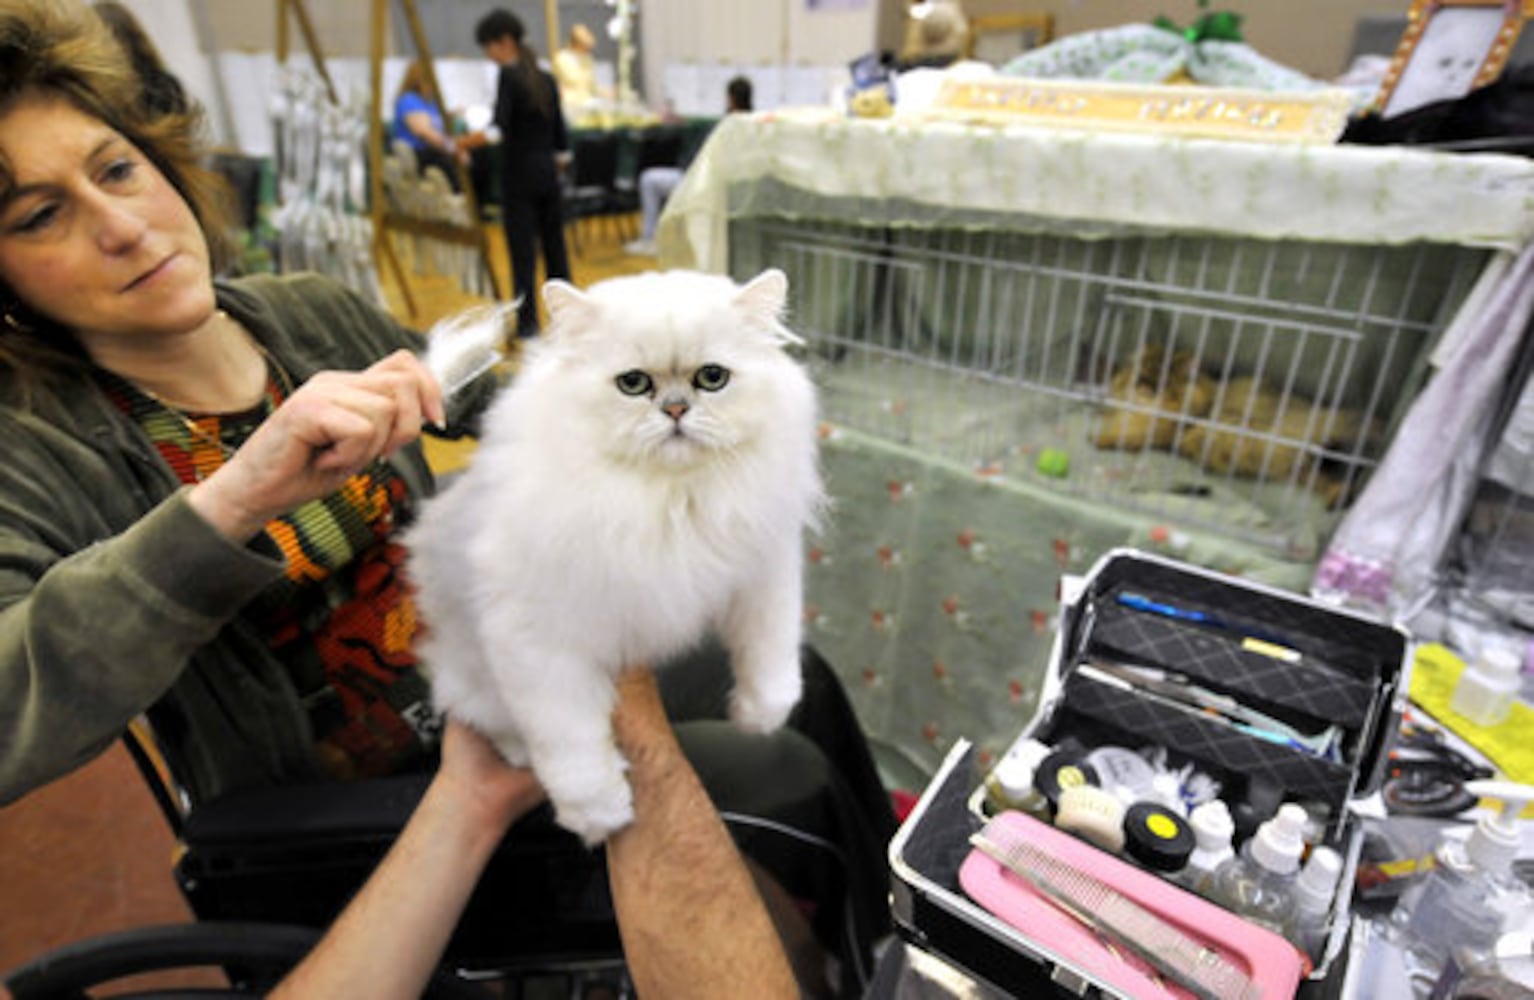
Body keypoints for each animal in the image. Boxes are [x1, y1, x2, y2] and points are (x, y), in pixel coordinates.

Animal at [401, 266, 822, 846]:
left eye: (712, 378)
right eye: (634, 384)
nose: (675, 410)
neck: (670, 500)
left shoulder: (764, 568)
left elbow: (773, 655)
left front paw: (758, 717)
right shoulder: (536, 641)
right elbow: (571, 741)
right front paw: (599, 816)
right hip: (472, 676)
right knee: (487, 718)